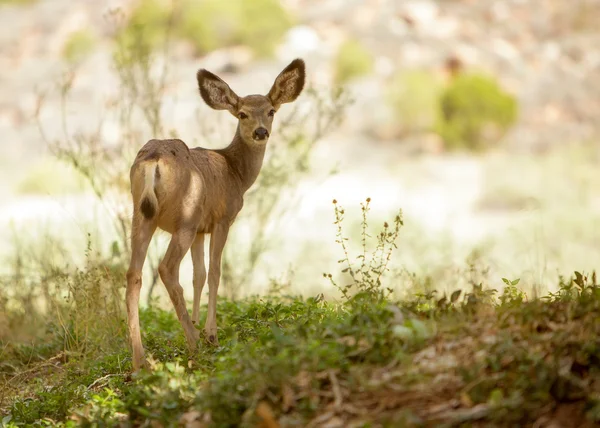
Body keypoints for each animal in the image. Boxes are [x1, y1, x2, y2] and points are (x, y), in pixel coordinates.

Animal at [125, 57, 304, 372]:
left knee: (134, 274)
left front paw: (197, 322)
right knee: (166, 268)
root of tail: (153, 160)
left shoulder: (201, 228)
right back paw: (193, 344)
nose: (261, 132)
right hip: (184, 216)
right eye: (242, 114)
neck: (235, 172)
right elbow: (215, 273)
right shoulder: (221, 219)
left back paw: (140, 361)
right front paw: (210, 334)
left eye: (271, 111)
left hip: (143, 215)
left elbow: (198, 274)